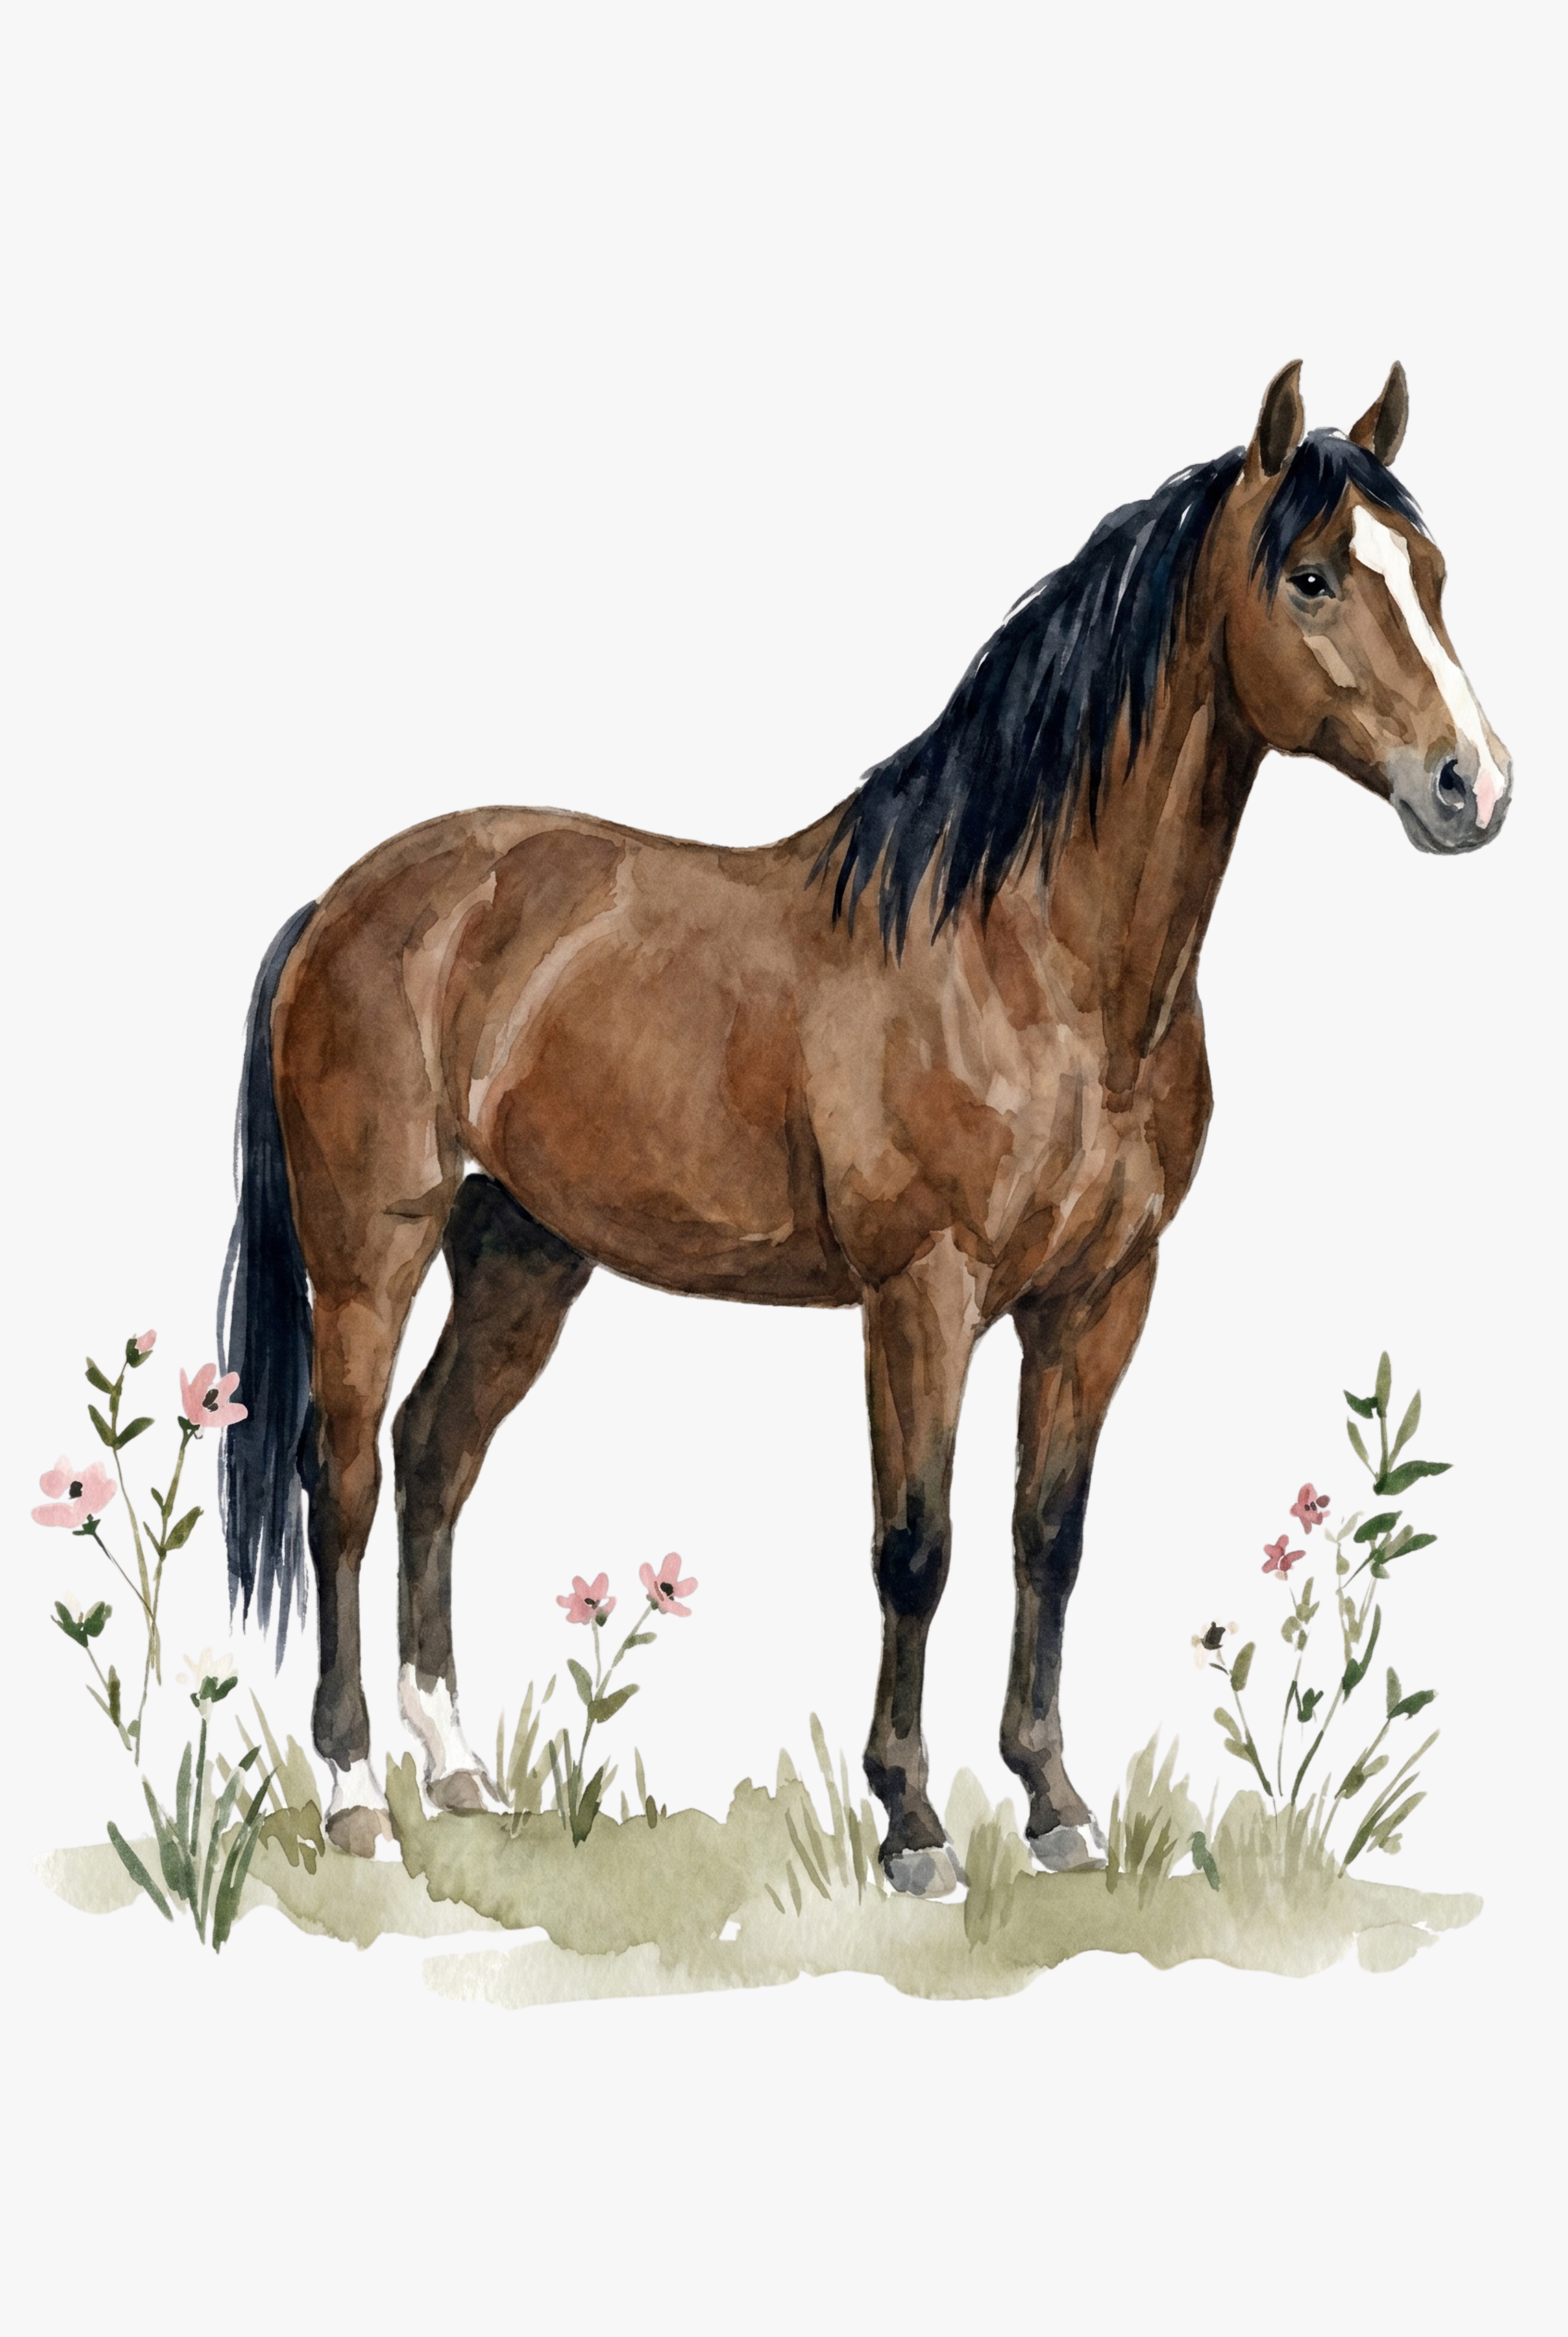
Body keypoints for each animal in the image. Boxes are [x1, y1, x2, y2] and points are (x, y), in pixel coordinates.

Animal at [218, 361, 1510, 1889]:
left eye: (1428, 573)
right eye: (1310, 577)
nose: (1472, 785)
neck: (1030, 955)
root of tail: (344, 903)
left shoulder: (1101, 1294)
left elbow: (1046, 1536)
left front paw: (1056, 1801)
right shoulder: (922, 1290)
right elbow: (918, 1544)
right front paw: (912, 1821)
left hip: (522, 1253)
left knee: (435, 1457)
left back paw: (463, 1771)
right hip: (373, 1247)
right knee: (348, 1476)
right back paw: (356, 1786)